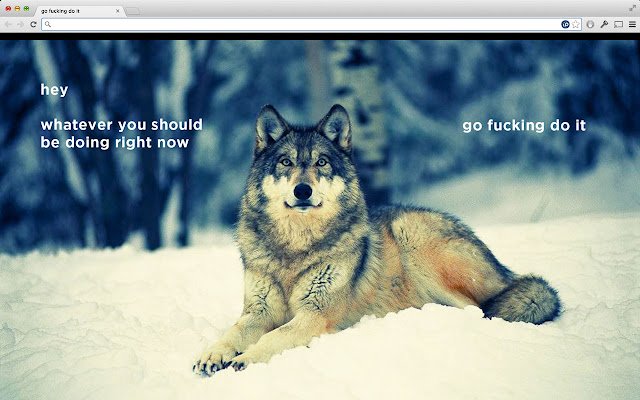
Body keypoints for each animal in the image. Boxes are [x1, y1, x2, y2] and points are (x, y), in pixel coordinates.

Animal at [193, 104, 561, 376]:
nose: (303, 190)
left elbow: (274, 337)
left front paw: (244, 359)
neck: (296, 247)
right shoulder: (258, 311)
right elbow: (233, 332)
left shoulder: (315, 315)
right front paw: (212, 354)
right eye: (286, 162)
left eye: (321, 163)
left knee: (478, 309)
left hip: (416, 240)